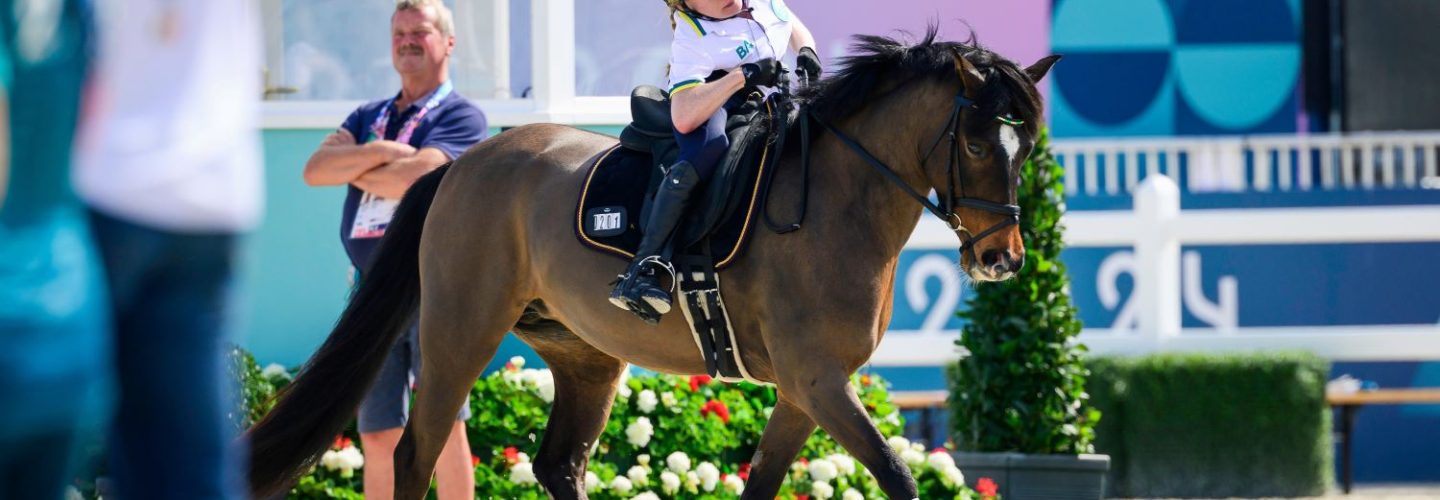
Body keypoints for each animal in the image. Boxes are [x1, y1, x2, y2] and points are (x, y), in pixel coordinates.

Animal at [247, 29, 1059, 498]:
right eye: (979, 143)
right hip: (458, 333)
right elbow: (896, 475)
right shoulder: (817, 381)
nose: (1002, 259)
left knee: (557, 464)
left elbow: (763, 485)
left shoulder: (805, 392)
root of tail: (460, 164)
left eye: (1027, 148)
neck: (838, 200)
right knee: (418, 456)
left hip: (584, 355)